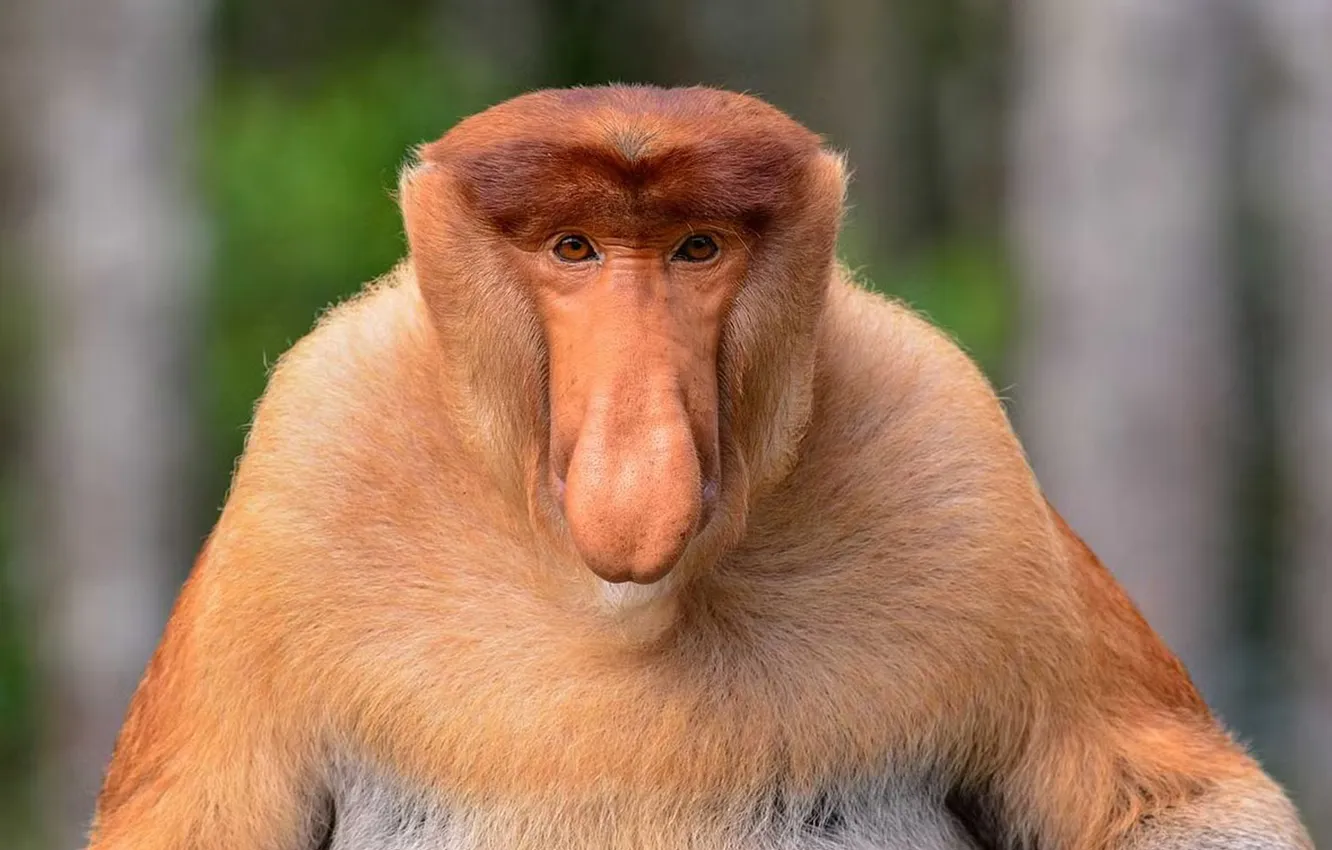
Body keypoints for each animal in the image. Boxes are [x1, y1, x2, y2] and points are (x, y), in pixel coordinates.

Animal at [85, 85, 1312, 850]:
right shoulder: (307, 459)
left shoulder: (955, 450)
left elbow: (1179, 804)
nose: (640, 457)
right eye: (574, 248)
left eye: (697, 249)